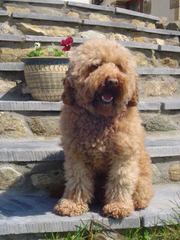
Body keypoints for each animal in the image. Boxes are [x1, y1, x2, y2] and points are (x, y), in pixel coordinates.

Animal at [53, 39, 153, 219]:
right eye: (95, 66)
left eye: (119, 66)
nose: (112, 81)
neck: (101, 119)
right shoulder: (76, 155)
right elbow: (77, 179)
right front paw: (73, 204)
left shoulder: (124, 155)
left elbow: (121, 180)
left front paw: (118, 206)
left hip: (142, 177)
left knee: (142, 191)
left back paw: (137, 202)